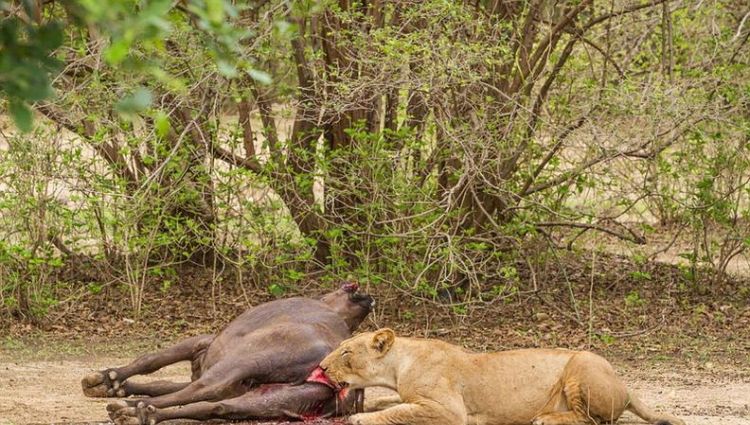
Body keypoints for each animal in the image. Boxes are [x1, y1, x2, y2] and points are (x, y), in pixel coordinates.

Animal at [82, 282, 376, 424]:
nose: (368, 297)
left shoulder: (203, 342)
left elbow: (151, 361)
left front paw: (107, 378)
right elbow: (161, 383)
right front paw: (114, 385)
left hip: (245, 361)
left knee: (203, 390)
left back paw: (131, 409)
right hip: (276, 399)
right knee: (216, 406)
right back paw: (141, 412)